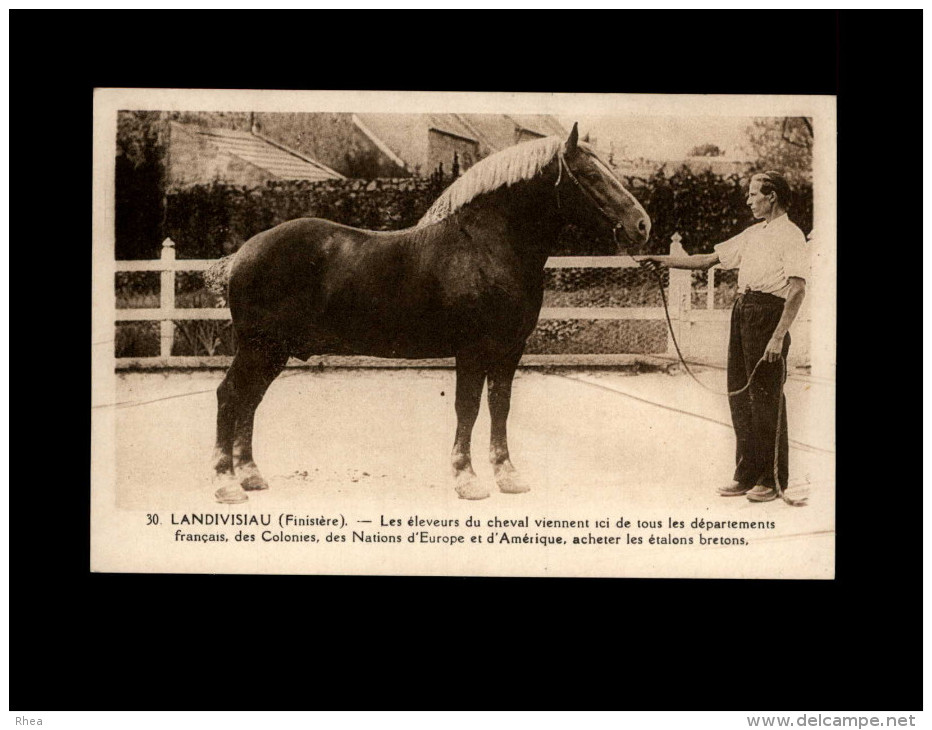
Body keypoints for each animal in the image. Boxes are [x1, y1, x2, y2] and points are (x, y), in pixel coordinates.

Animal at [208, 123, 652, 500]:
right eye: (591, 175)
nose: (642, 225)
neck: (486, 247)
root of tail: (241, 254)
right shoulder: (472, 350)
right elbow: (468, 407)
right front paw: (466, 479)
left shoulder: (510, 350)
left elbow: (500, 405)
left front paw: (507, 476)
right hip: (258, 347)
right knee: (230, 395)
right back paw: (226, 482)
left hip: (273, 351)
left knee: (250, 400)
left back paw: (250, 475)